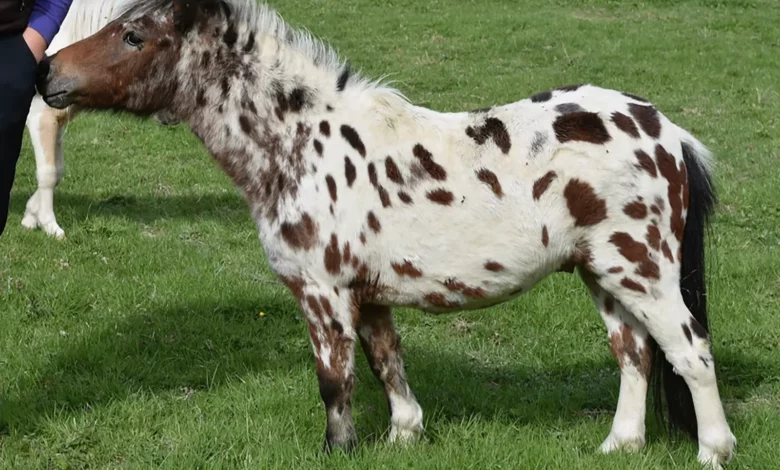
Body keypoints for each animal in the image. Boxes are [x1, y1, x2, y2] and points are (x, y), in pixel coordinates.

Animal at [21, 0, 179, 239]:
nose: (173, 116)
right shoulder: (40, 116)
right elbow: (48, 173)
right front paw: (50, 226)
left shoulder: (59, 121)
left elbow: (58, 171)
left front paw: (30, 217)